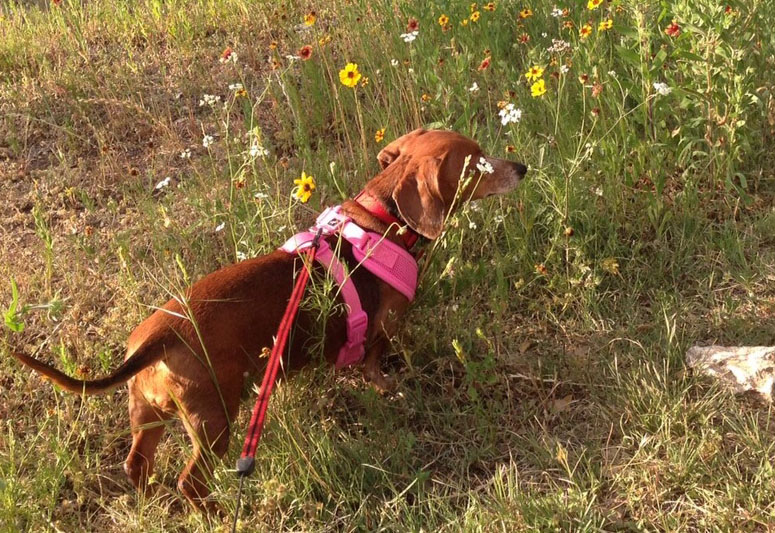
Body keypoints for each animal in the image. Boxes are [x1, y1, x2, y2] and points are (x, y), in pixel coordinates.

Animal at [10, 128, 528, 508]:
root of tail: (162, 334)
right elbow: (375, 364)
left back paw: (149, 500)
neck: (381, 221)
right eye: (478, 162)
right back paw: (214, 513)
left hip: (148, 415)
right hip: (215, 420)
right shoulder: (384, 328)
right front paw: (389, 387)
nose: (521, 167)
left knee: (137, 465)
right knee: (190, 483)